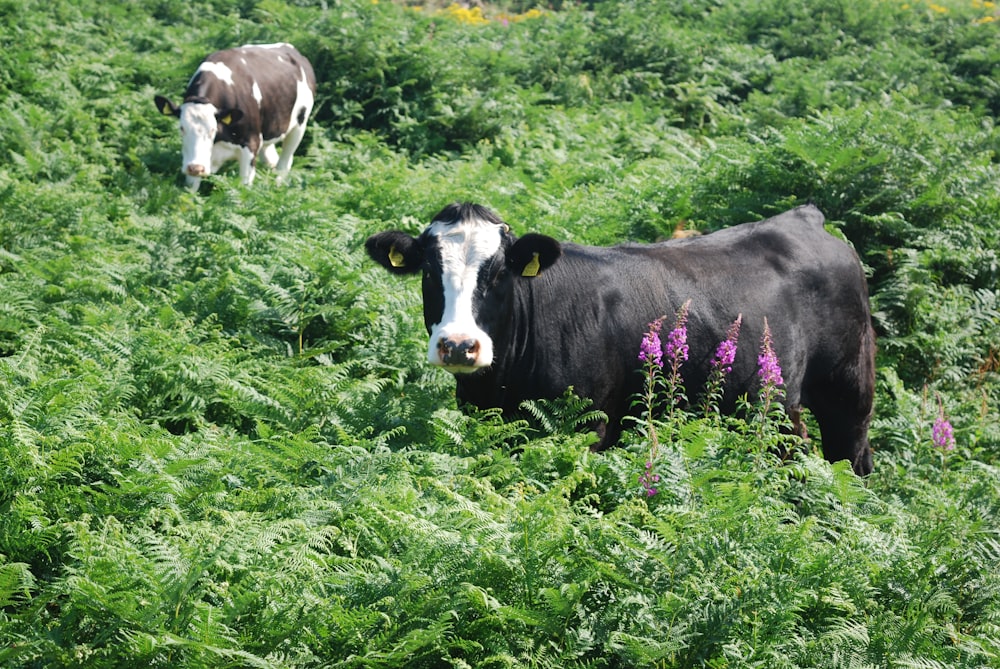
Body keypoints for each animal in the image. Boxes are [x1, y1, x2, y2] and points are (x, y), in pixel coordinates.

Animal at [153, 42, 312, 190]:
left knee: (285, 161)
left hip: (300, 124)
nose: (195, 168)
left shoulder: (251, 144)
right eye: (181, 128)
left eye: (213, 130)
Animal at [368, 201, 876, 472]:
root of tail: (802, 217)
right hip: (779, 402)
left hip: (849, 389)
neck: (503, 385)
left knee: (851, 459)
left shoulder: (586, 424)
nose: (459, 344)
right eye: (429, 271)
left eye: (498, 274)